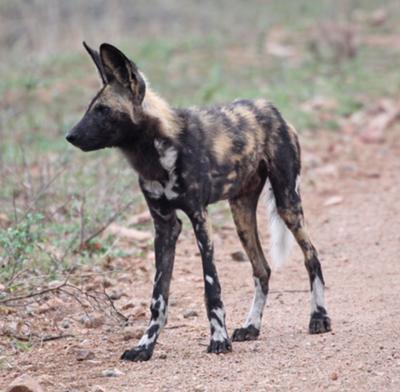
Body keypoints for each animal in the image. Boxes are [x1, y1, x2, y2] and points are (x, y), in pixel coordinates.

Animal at [66, 42, 332, 362]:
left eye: (103, 110)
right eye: (90, 108)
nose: (70, 136)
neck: (154, 153)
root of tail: (271, 108)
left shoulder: (198, 217)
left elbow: (211, 287)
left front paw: (218, 339)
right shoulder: (165, 226)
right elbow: (158, 297)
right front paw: (145, 346)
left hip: (287, 203)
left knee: (312, 256)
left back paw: (318, 317)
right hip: (241, 214)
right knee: (262, 269)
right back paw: (251, 326)